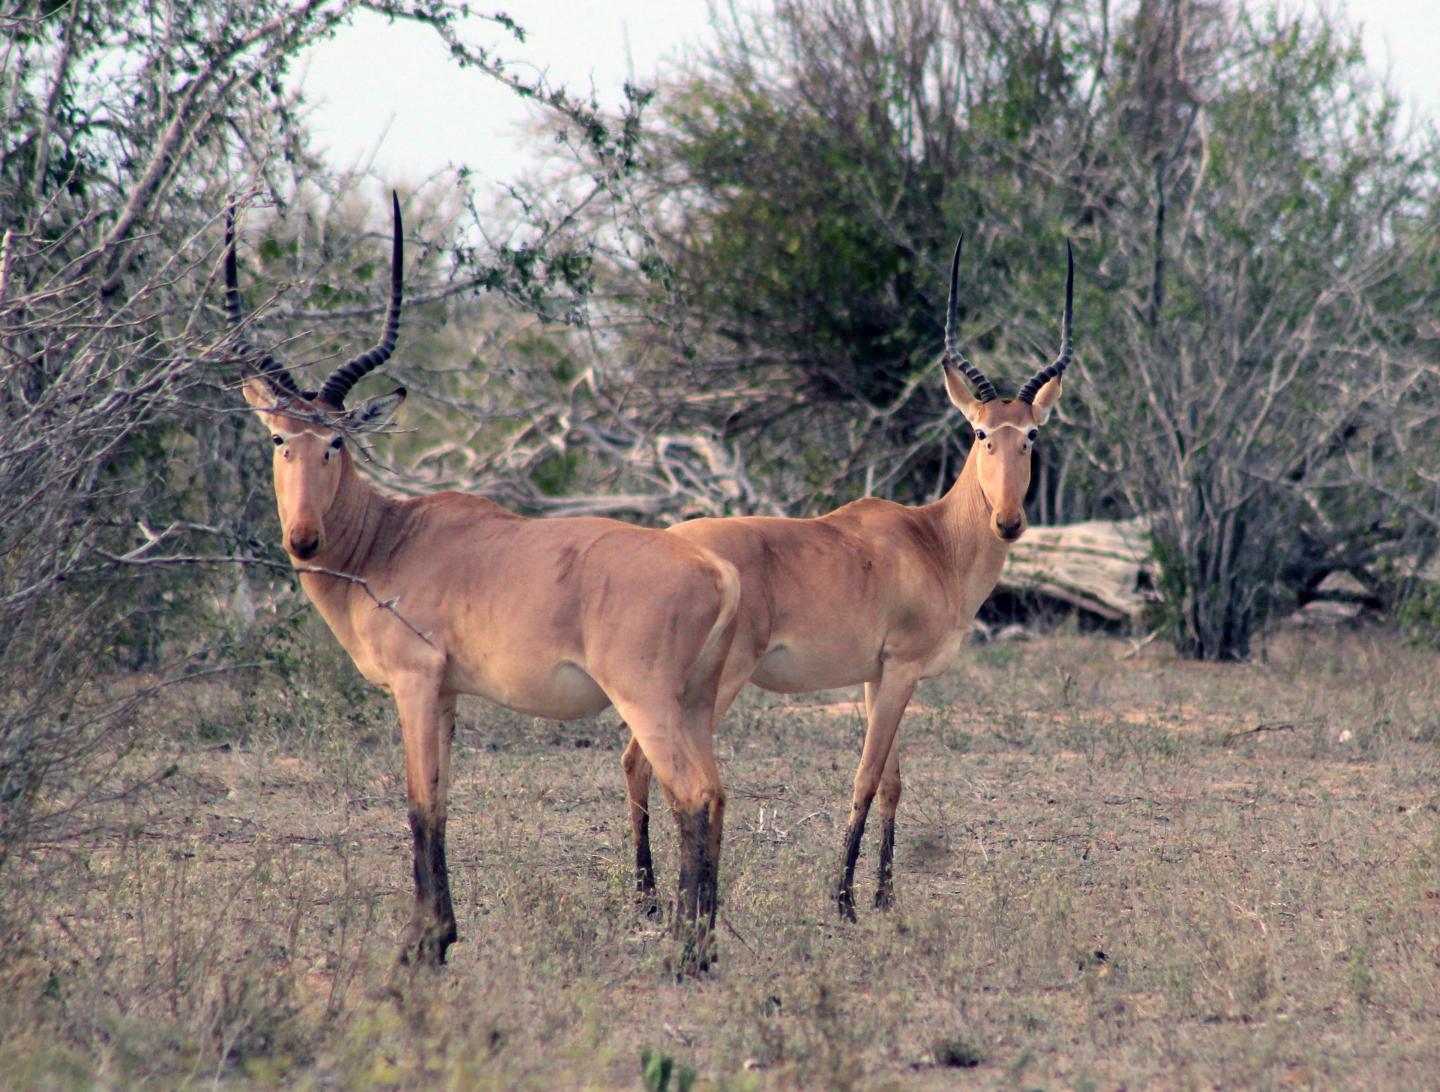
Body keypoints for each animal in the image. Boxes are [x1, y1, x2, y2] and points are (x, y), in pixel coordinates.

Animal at [226, 195, 740, 971]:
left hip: (648, 702)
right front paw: (439, 937)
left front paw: (418, 944)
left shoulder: (414, 685)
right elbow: (441, 801)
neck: (392, 537)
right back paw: (700, 949)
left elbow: (419, 802)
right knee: (717, 794)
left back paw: (684, 956)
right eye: (281, 438)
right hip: (696, 704)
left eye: (338, 440)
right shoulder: (445, 695)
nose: (303, 539)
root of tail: (713, 567)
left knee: (695, 795)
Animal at [624, 237, 1074, 920]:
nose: (1008, 520)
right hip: (714, 683)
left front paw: (884, 896)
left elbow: (892, 782)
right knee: (653, 766)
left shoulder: (877, 675)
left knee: (634, 761)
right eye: (979, 432)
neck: (932, 540)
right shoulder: (902, 671)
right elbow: (864, 778)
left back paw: (646, 896)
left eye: (1031, 433)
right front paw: (843, 901)